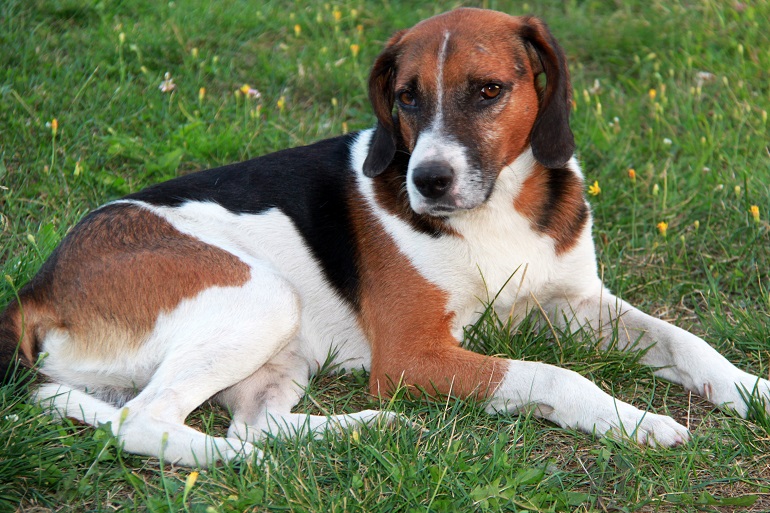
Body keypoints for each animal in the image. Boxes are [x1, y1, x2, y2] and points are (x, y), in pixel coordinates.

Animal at [1, 8, 768, 466]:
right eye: (405, 96)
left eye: (488, 90)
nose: (427, 180)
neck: (494, 208)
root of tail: (34, 290)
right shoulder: (412, 355)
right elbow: (556, 374)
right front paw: (634, 421)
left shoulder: (580, 302)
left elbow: (684, 340)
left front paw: (749, 388)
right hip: (261, 296)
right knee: (144, 419)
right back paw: (263, 470)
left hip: (281, 345)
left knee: (250, 422)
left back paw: (367, 429)